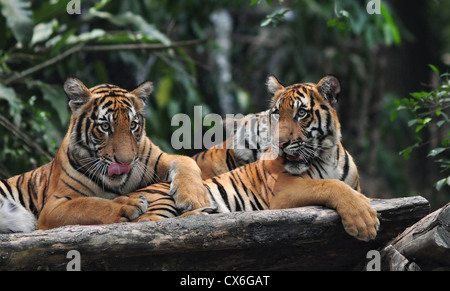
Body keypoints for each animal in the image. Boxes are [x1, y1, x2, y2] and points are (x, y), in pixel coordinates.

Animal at [0, 77, 209, 233]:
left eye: (133, 125)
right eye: (105, 127)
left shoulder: (159, 157)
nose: (125, 162)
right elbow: (89, 205)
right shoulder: (54, 206)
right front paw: (128, 205)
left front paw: (195, 198)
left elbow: (186, 160)